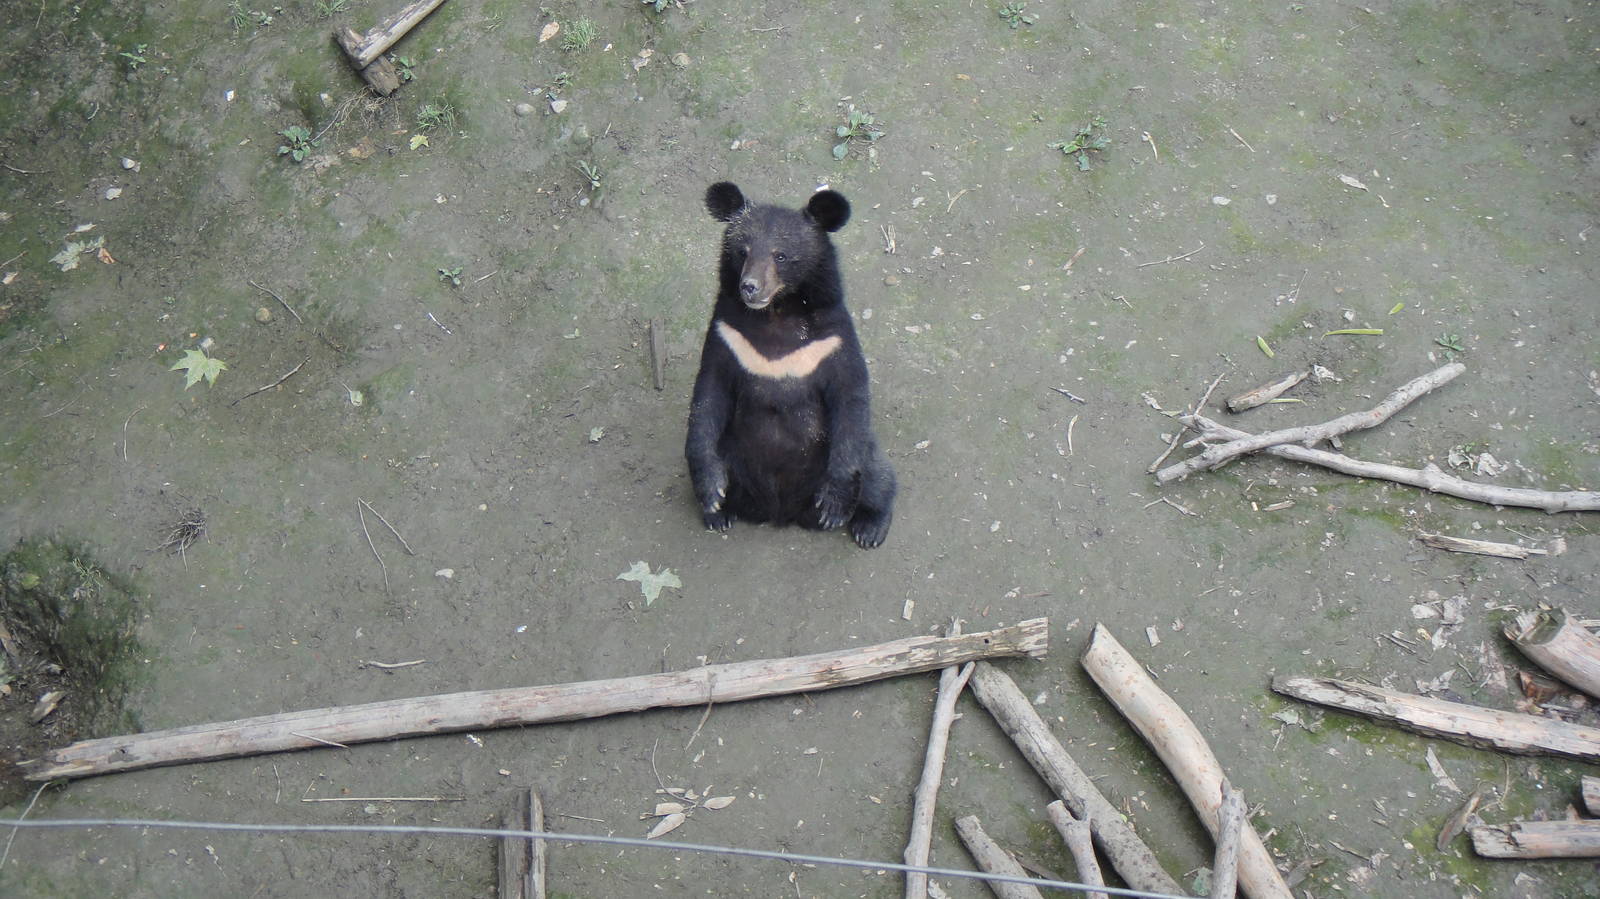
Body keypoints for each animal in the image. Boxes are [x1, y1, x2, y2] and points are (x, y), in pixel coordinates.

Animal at [684, 181, 896, 549]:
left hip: (846, 458)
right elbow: (708, 397)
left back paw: (868, 527)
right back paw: (721, 513)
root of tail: (783, 513)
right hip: (734, 451)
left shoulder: (832, 341)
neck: (776, 314)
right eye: (743, 251)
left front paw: (835, 507)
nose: (749, 287)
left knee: (875, 473)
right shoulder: (727, 336)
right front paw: (712, 493)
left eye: (780, 255)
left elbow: (850, 397)